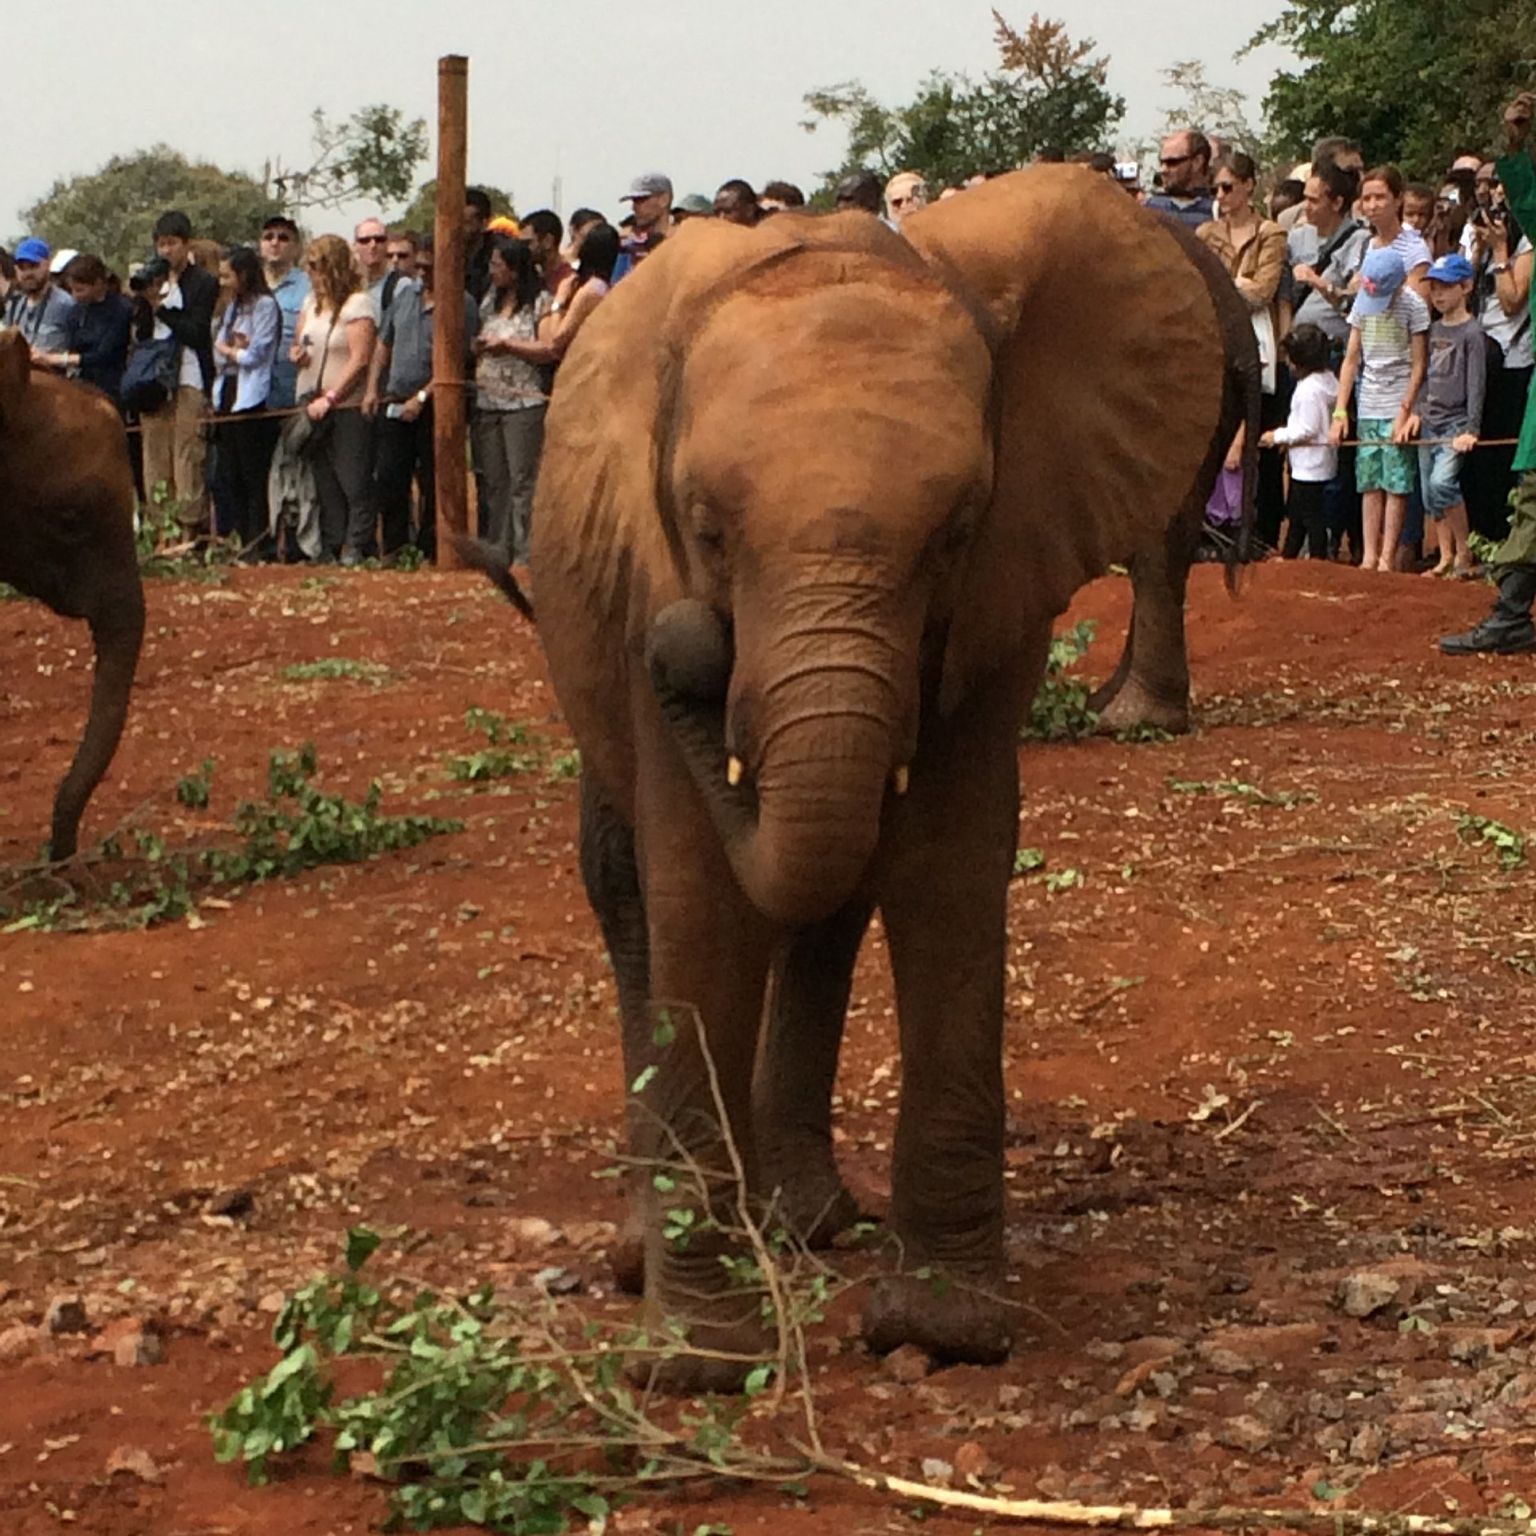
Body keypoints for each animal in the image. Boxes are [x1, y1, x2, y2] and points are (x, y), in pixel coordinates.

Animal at [524, 166, 1257, 1391]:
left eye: (955, 530)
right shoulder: (640, 578)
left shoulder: (1001, 584)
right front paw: (699, 1367)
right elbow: (698, 897)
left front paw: (939, 1332)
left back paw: (799, 1226)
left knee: (833, 896)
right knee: (628, 883)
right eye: (708, 531)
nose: (687, 650)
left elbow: (951, 864)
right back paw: (661, 1251)